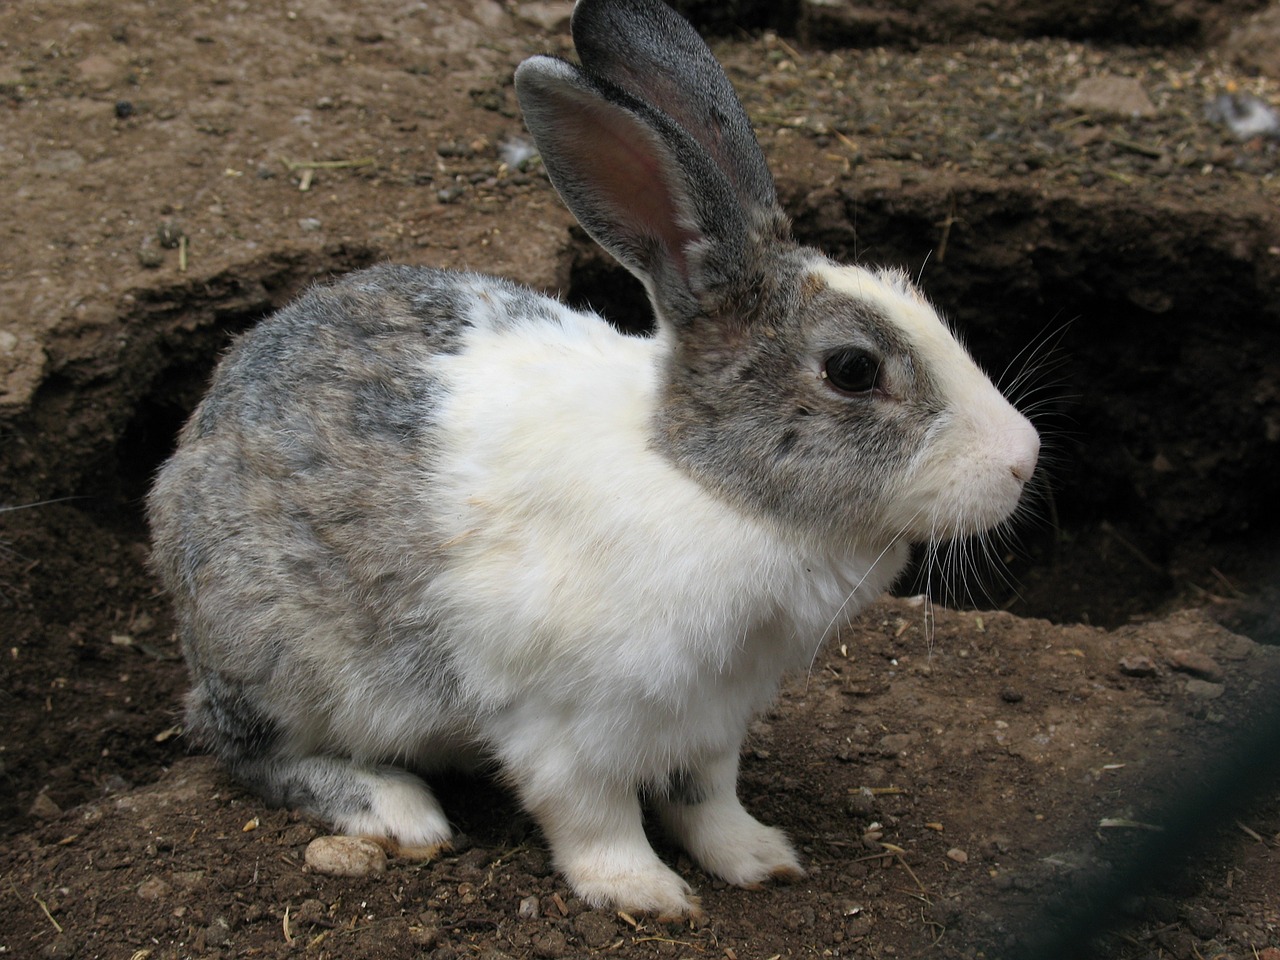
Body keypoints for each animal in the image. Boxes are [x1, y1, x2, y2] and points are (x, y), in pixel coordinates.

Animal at [147, 0, 1039, 921]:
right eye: (854, 369)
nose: (1023, 459)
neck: (711, 485)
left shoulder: (711, 719)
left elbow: (706, 798)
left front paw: (760, 859)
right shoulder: (569, 726)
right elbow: (594, 814)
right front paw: (645, 893)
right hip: (281, 660)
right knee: (239, 745)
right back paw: (397, 809)